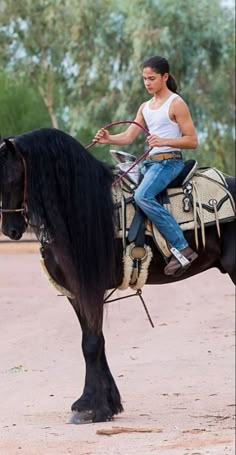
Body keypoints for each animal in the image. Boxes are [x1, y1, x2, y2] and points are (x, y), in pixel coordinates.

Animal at [0, 128, 235, 424]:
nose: (10, 229)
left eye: (10, 177)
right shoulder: (77, 293)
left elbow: (91, 344)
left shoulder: (91, 287)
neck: (78, 214)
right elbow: (94, 342)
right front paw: (101, 405)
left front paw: (89, 408)